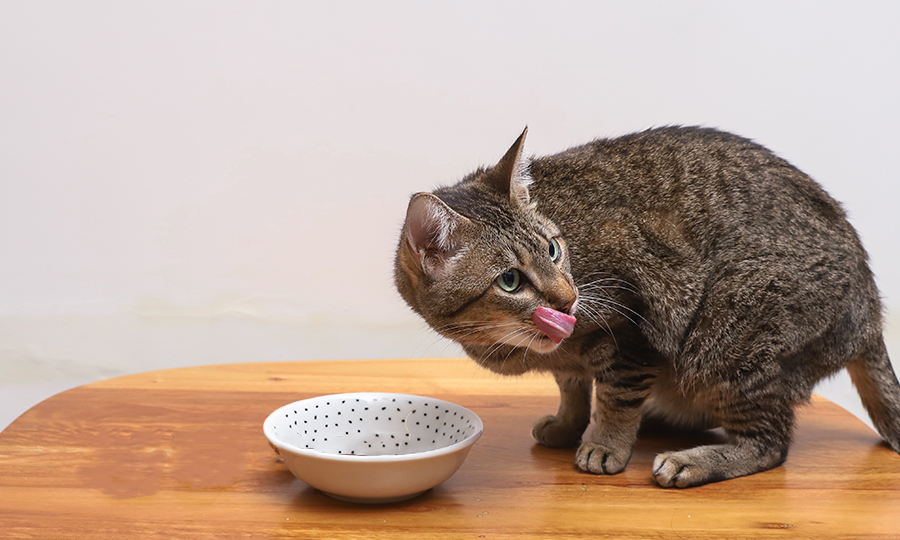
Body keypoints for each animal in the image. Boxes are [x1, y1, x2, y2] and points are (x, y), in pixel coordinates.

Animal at [394, 127, 900, 490]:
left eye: (554, 249)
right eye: (511, 281)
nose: (568, 297)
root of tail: (871, 312)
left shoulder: (632, 327)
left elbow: (615, 397)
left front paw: (604, 445)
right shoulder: (572, 355)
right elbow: (571, 387)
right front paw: (568, 424)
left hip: (728, 336)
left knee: (770, 444)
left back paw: (691, 461)